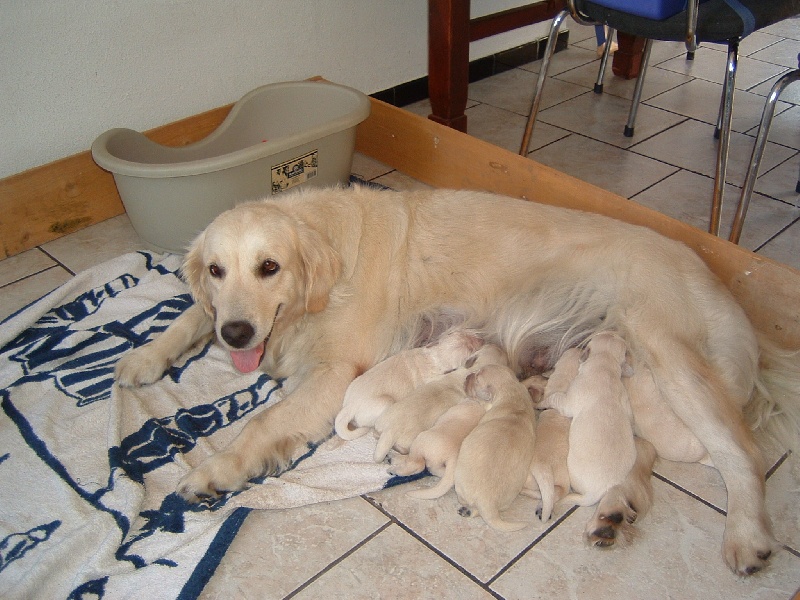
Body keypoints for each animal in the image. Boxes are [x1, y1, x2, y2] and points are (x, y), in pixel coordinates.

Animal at [332, 328, 482, 440]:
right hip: (384, 403)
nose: (482, 340)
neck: (432, 357)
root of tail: (349, 406)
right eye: (470, 349)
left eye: (461, 333)